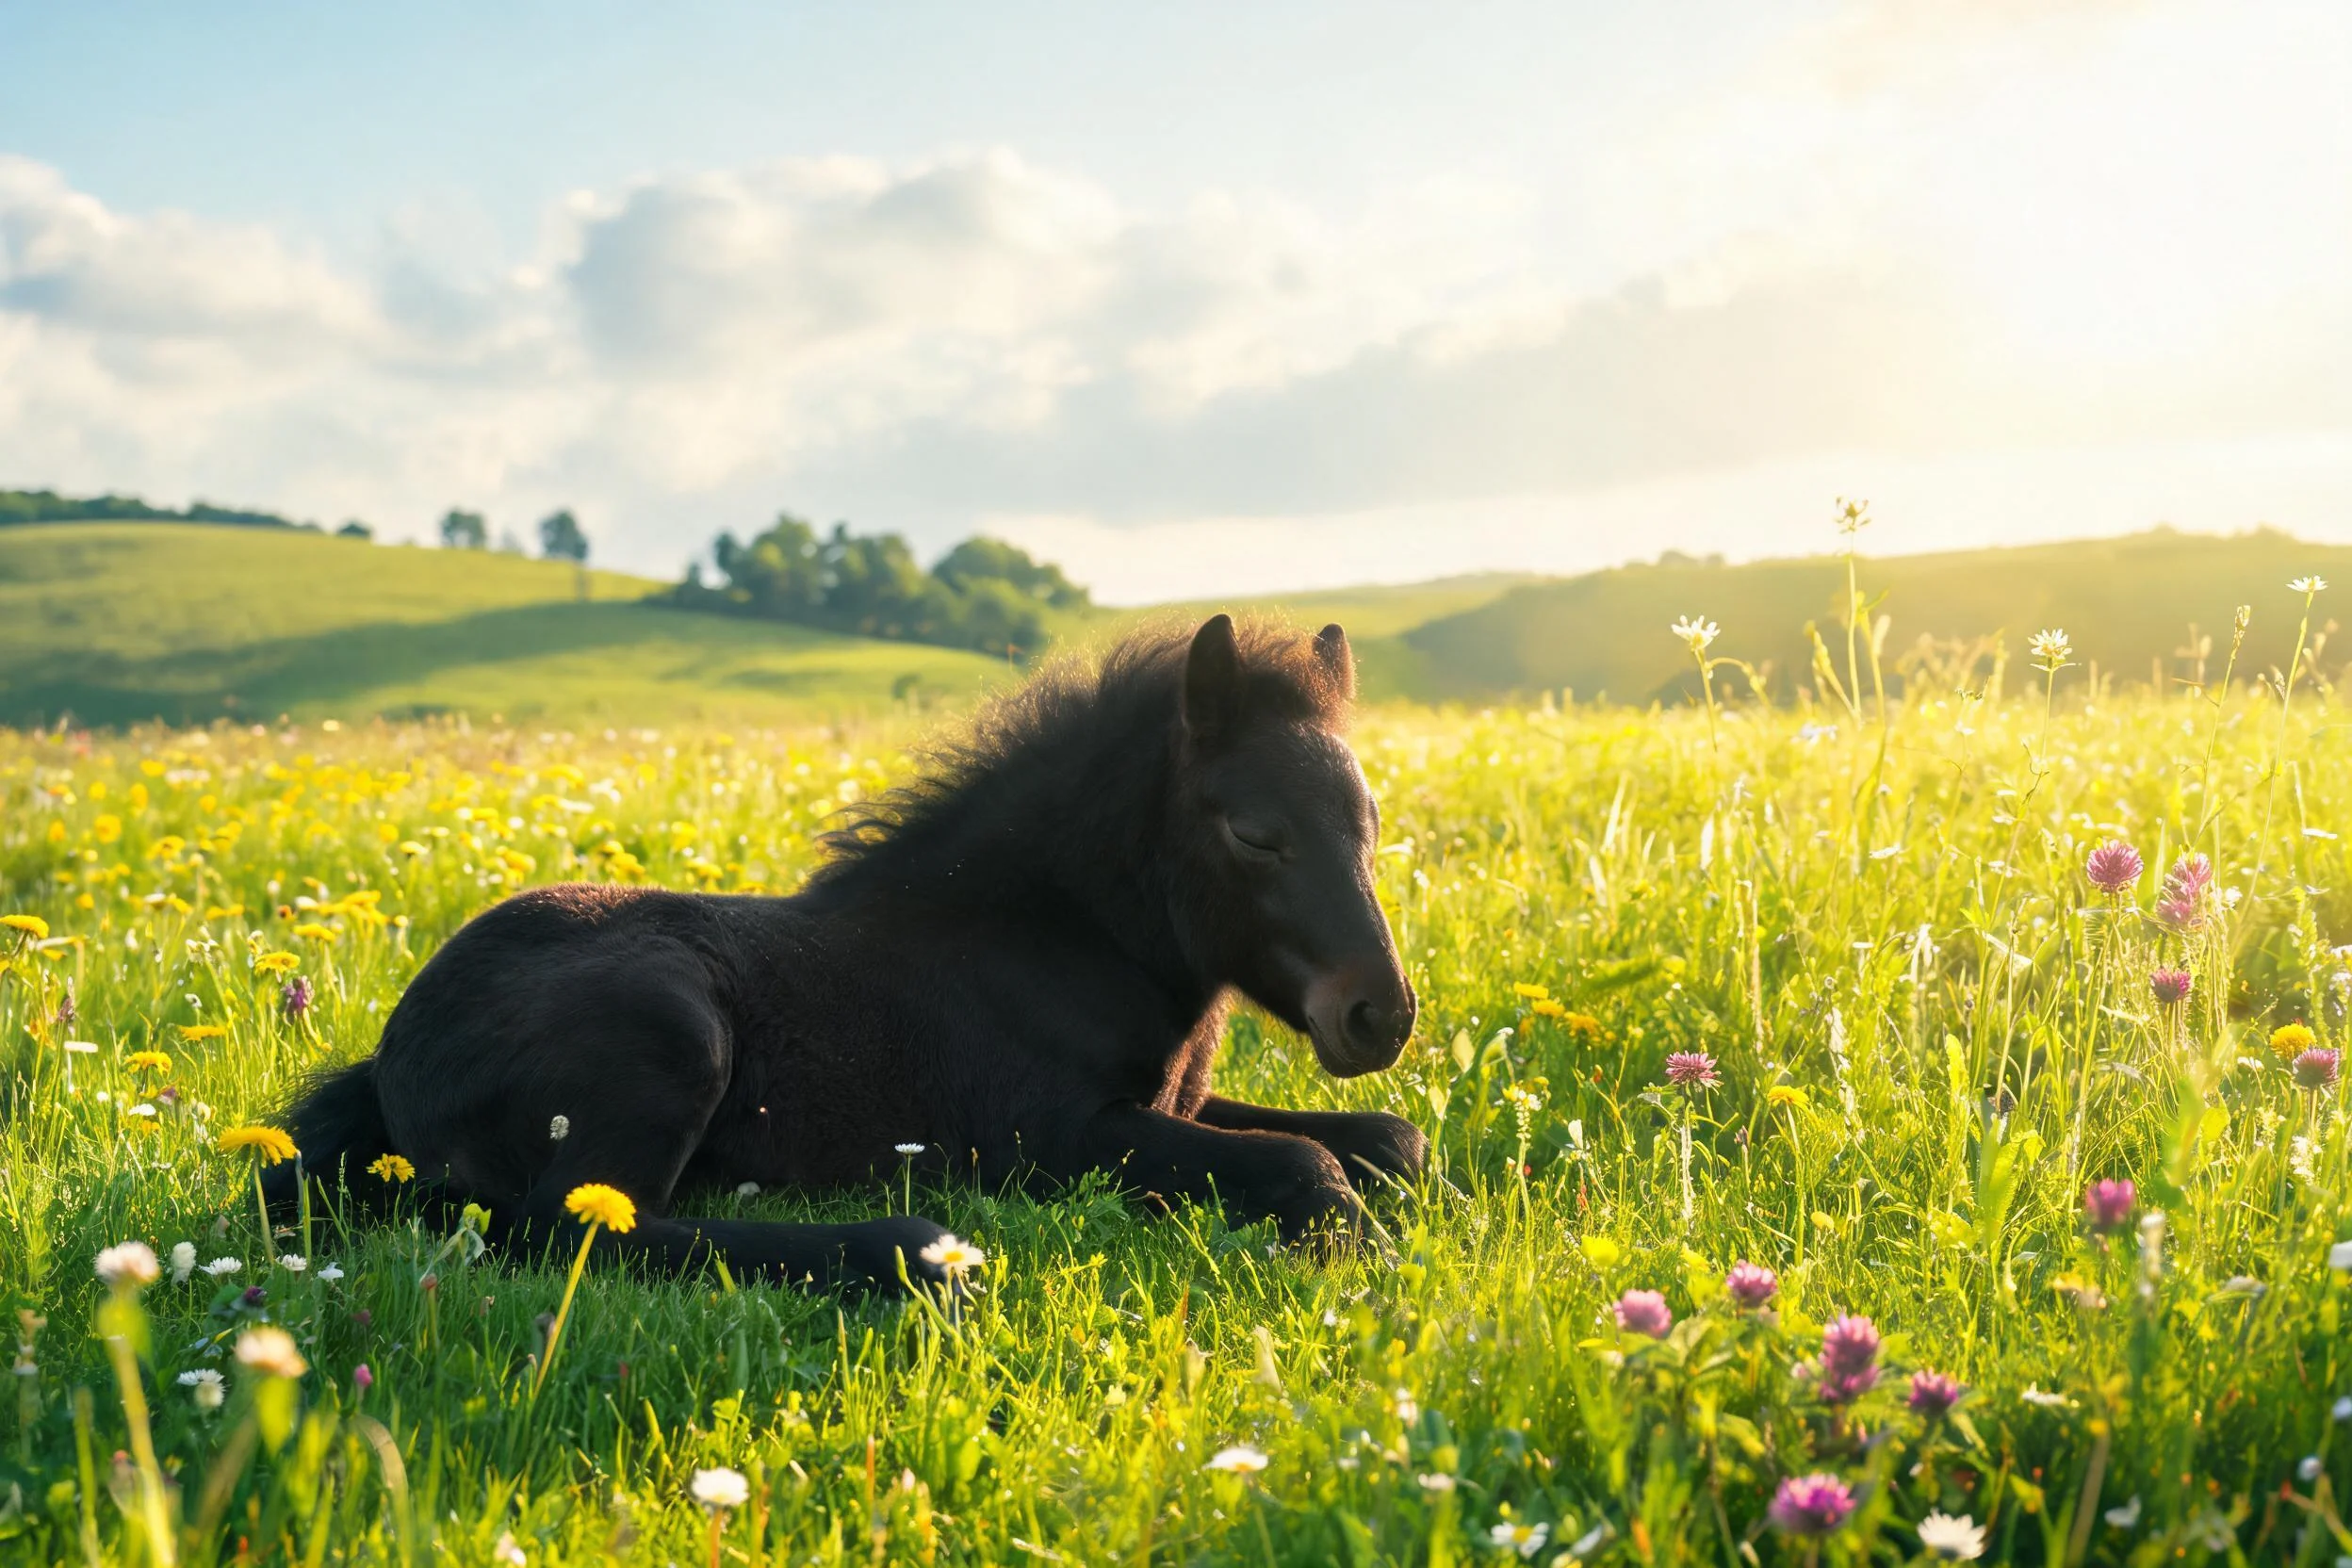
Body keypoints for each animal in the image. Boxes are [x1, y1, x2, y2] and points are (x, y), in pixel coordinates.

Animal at [269, 614, 1423, 1290]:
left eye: (1370, 820)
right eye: (1256, 834)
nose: (1381, 1015)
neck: (1045, 938)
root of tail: (392, 1057)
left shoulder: (1170, 1101)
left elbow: (1387, 1136)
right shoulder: (1054, 1134)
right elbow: (1301, 1158)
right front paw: (1361, 1248)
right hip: (669, 1030)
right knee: (580, 1229)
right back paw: (911, 1250)